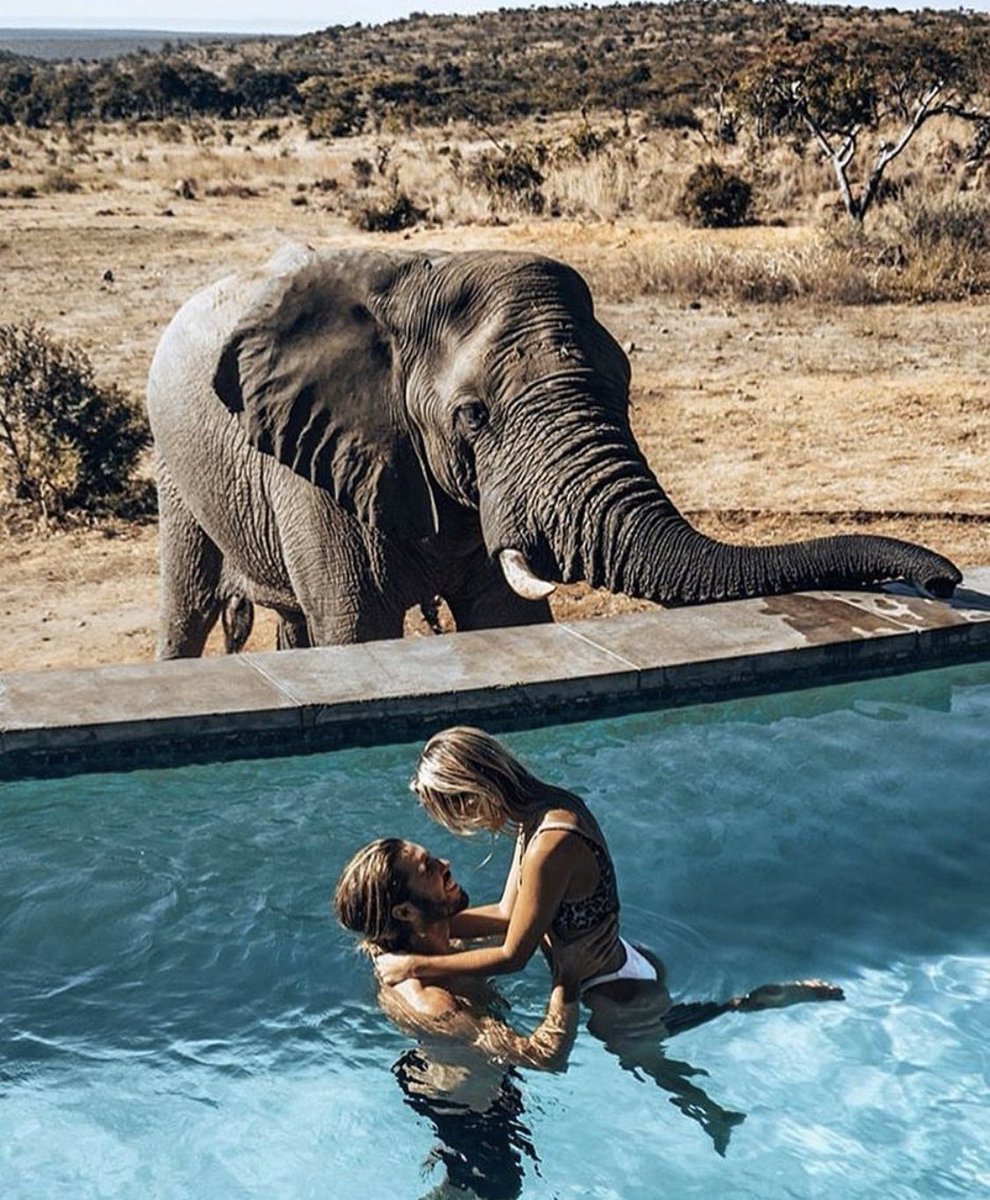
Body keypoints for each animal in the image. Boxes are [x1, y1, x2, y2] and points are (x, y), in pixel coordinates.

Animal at [146, 243, 961, 658]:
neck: (417, 275)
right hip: (172, 465)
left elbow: (505, 618)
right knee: (188, 610)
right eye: (471, 415)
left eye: (626, 390)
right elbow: (356, 628)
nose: (945, 580)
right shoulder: (324, 463)